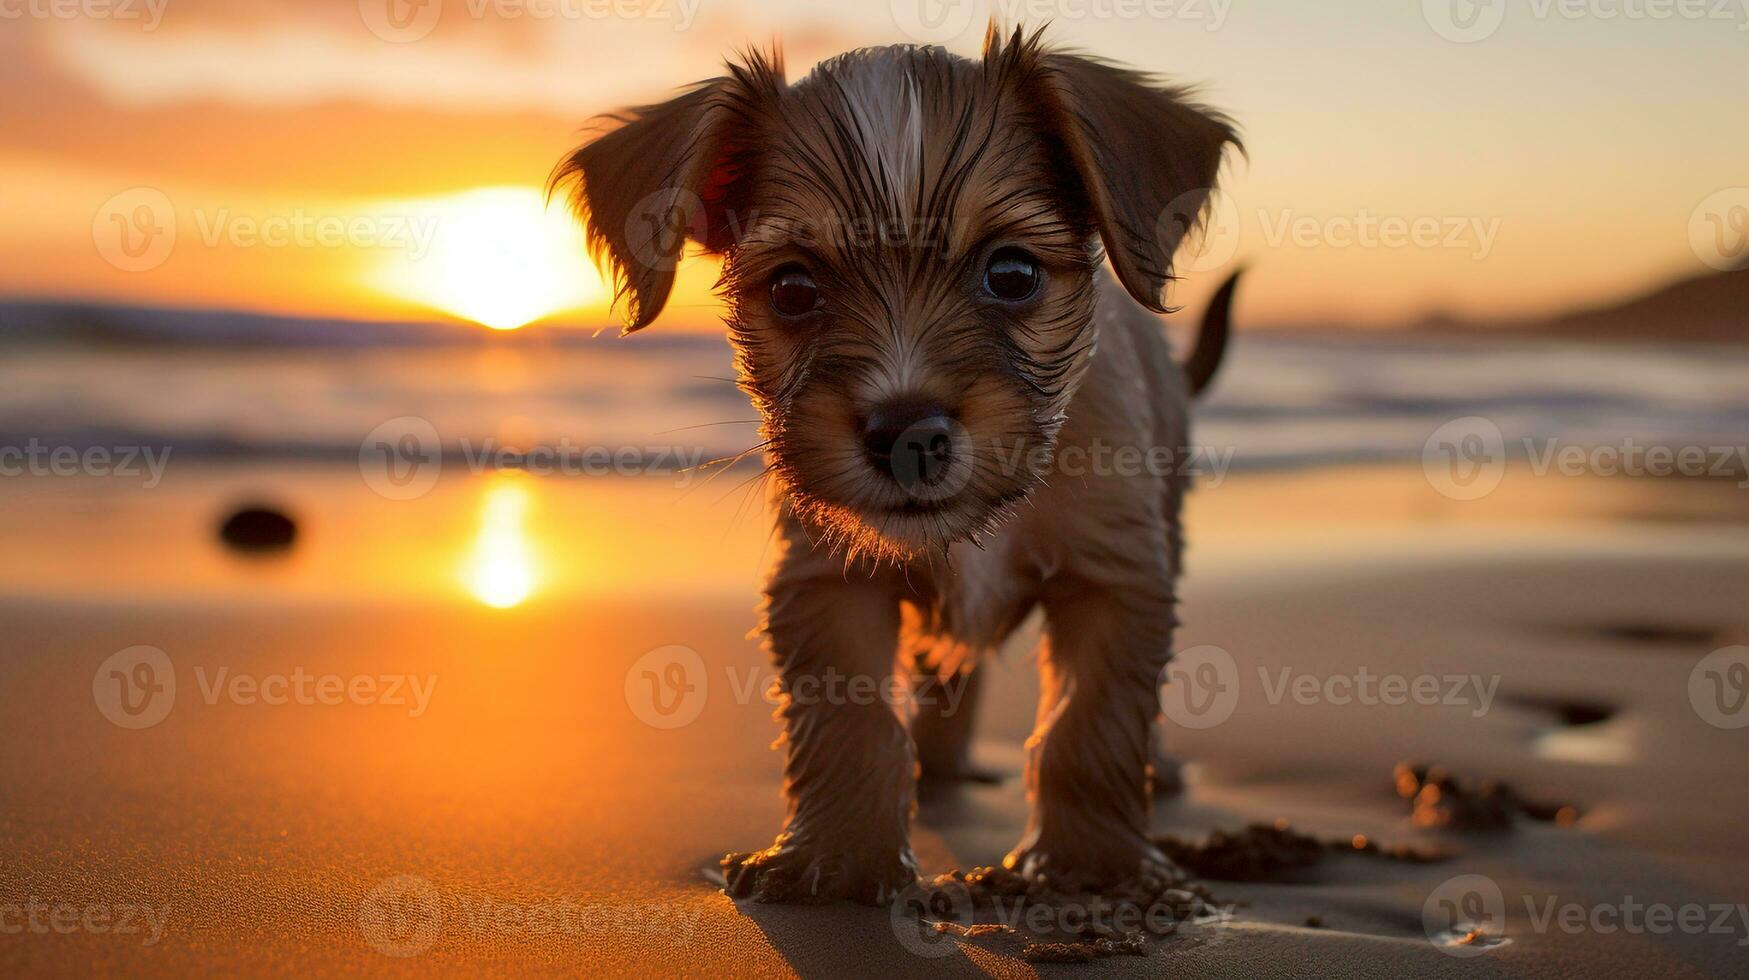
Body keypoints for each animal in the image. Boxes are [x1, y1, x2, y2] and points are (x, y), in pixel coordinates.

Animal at [559, 26, 1245, 903]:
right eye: (792, 288)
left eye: (1012, 273)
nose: (905, 433)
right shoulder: (828, 577)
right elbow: (851, 723)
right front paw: (838, 855)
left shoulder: (1113, 577)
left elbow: (1088, 724)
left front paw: (1094, 865)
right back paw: (945, 767)